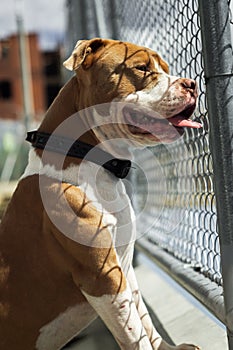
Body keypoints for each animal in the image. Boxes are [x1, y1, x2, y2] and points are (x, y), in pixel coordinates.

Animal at [0, 37, 200, 348]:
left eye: (165, 69)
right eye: (141, 68)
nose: (191, 84)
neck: (85, 158)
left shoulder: (124, 268)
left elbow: (144, 317)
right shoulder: (103, 278)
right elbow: (134, 333)